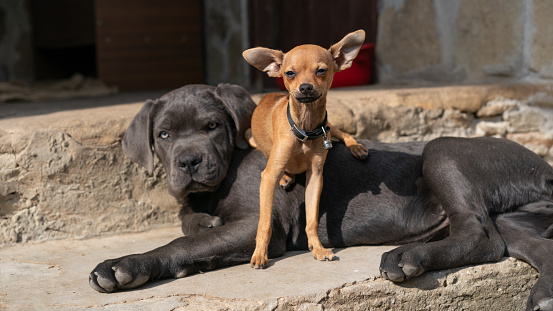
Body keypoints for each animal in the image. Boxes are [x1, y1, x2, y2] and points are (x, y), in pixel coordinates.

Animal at [88, 83, 548, 311]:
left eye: (212, 127)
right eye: (164, 135)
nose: (188, 162)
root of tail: (543, 165)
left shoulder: (262, 227)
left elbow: (182, 241)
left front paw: (125, 266)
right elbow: (193, 228)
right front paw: (197, 231)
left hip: (444, 149)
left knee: (482, 237)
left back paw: (408, 257)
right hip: (512, 216)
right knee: (527, 244)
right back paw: (543, 296)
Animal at [244, 29, 368, 270]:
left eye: (321, 70)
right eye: (290, 73)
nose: (306, 87)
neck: (305, 129)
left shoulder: (316, 176)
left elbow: (311, 219)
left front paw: (318, 249)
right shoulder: (269, 176)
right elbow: (265, 222)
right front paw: (260, 254)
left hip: (328, 127)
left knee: (341, 132)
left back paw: (357, 147)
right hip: (251, 138)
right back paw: (286, 177)